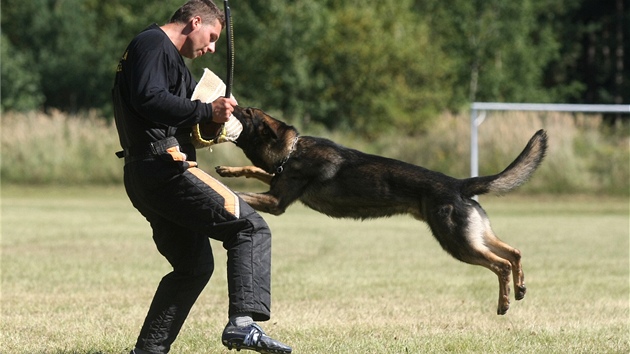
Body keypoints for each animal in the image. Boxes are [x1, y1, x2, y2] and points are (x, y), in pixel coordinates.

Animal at [214, 106, 548, 316]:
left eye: (248, 113)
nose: (232, 103)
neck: (291, 151)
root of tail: (459, 184)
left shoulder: (276, 201)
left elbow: (245, 189)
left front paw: (225, 188)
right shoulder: (275, 183)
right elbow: (254, 170)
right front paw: (228, 171)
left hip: (458, 243)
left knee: (500, 264)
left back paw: (504, 303)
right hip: (474, 236)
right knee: (514, 252)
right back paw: (520, 289)